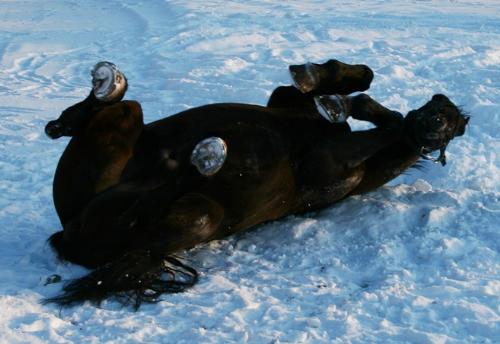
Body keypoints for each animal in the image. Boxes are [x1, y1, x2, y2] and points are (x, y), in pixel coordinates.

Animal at [43, 59, 468, 310]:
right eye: (439, 110)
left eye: (448, 125)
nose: (431, 123)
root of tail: (65, 235)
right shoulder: (285, 102)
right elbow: (354, 81)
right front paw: (329, 87)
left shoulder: (326, 162)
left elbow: (385, 121)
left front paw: (351, 106)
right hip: (123, 129)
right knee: (104, 112)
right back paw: (96, 94)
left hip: (190, 213)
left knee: (159, 220)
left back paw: (205, 156)